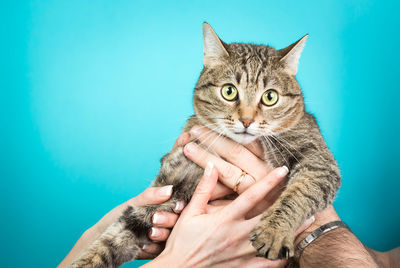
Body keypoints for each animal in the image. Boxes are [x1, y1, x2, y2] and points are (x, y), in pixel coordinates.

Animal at [71, 23, 340, 268]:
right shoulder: (168, 186)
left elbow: (299, 194)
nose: (247, 120)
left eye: (270, 97)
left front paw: (274, 231)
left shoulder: (319, 162)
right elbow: (111, 239)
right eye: (229, 92)